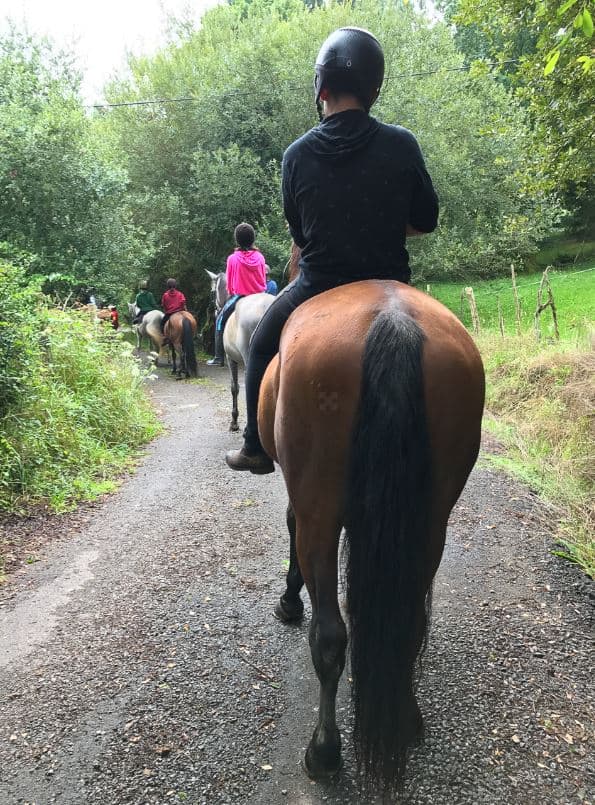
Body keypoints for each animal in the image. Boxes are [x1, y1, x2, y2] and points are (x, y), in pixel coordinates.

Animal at [258, 260, 486, 792]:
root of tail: (393, 320)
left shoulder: (304, 503)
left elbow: (290, 526)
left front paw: (288, 601)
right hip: (431, 522)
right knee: (410, 621)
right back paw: (405, 720)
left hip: (321, 512)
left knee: (329, 637)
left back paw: (324, 752)